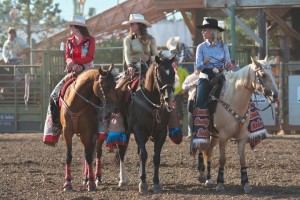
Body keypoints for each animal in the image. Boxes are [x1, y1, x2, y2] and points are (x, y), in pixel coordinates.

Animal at [119, 54, 177, 194]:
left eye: (173, 73)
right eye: (160, 74)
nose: (170, 99)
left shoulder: (161, 132)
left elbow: (156, 157)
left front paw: (156, 183)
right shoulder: (138, 130)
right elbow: (144, 155)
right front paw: (143, 184)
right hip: (123, 131)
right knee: (122, 151)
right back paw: (122, 180)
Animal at [192, 56, 278, 194]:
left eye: (273, 75)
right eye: (263, 75)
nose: (275, 95)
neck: (234, 100)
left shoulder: (242, 137)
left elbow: (242, 160)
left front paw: (246, 184)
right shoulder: (223, 137)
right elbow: (222, 159)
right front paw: (220, 183)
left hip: (214, 136)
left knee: (208, 152)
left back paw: (209, 179)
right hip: (204, 132)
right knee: (201, 147)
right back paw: (202, 176)